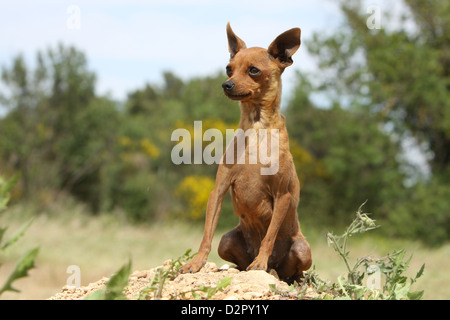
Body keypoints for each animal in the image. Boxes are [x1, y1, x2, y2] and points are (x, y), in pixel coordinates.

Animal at [179, 22, 312, 282]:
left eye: (253, 70)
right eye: (229, 69)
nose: (226, 84)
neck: (256, 130)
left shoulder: (283, 196)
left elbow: (269, 237)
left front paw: (260, 262)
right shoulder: (218, 190)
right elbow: (206, 234)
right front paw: (197, 262)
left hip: (302, 249)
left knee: (291, 271)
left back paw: (274, 270)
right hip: (227, 240)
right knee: (237, 259)